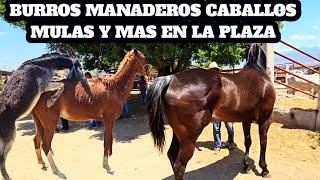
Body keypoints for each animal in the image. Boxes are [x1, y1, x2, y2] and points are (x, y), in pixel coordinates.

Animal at [30, 49, 148, 179]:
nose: (148, 69)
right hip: (50, 123)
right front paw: (106, 166)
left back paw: (42, 163)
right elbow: (106, 142)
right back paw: (57, 171)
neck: (114, 87)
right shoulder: (109, 120)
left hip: (40, 123)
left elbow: (109, 140)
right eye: (143, 57)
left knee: (36, 140)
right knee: (46, 145)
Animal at [146, 44, 276, 180]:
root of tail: (171, 78)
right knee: (179, 165)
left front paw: (246, 166)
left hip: (177, 132)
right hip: (190, 137)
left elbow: (248, 141)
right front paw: (264, 169)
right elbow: (263, 142)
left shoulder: (246, 120)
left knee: (171, 154)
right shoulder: (265, 120)